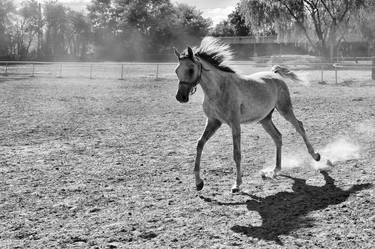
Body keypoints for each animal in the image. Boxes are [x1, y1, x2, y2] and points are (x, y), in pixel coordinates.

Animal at [173, 37, 320, 193]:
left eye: (190, 69)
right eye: (176, 71)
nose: (180, 97)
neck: (218, 89)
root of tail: (274, 73)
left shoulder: (234, 124)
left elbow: (236, 153)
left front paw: (237, 185)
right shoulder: (213, 121)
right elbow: (200, 144)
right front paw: (199, 183)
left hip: (285, 109)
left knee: (299, 126)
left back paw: (316, 156)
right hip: (265, 119)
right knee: (278, 137)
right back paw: (275, 170)